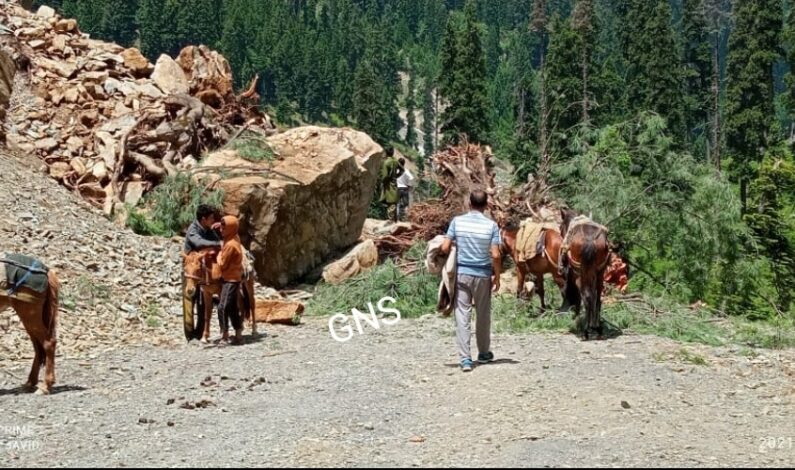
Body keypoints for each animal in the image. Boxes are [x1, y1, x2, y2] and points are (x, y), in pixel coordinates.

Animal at [0, 258, 60, 394]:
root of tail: (46, 271)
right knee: (38, 347)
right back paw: (30, 383)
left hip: (29, 314)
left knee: (48, 343)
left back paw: (45, 386)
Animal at [564, 208, 612, 338]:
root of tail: (590, 240)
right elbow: (594, 297)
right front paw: (593, 325)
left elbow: (577, 298)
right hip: (599, 274)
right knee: (597, 299)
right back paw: (597, 328)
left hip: (579, 276)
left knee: (586, 297)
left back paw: (584, 331)